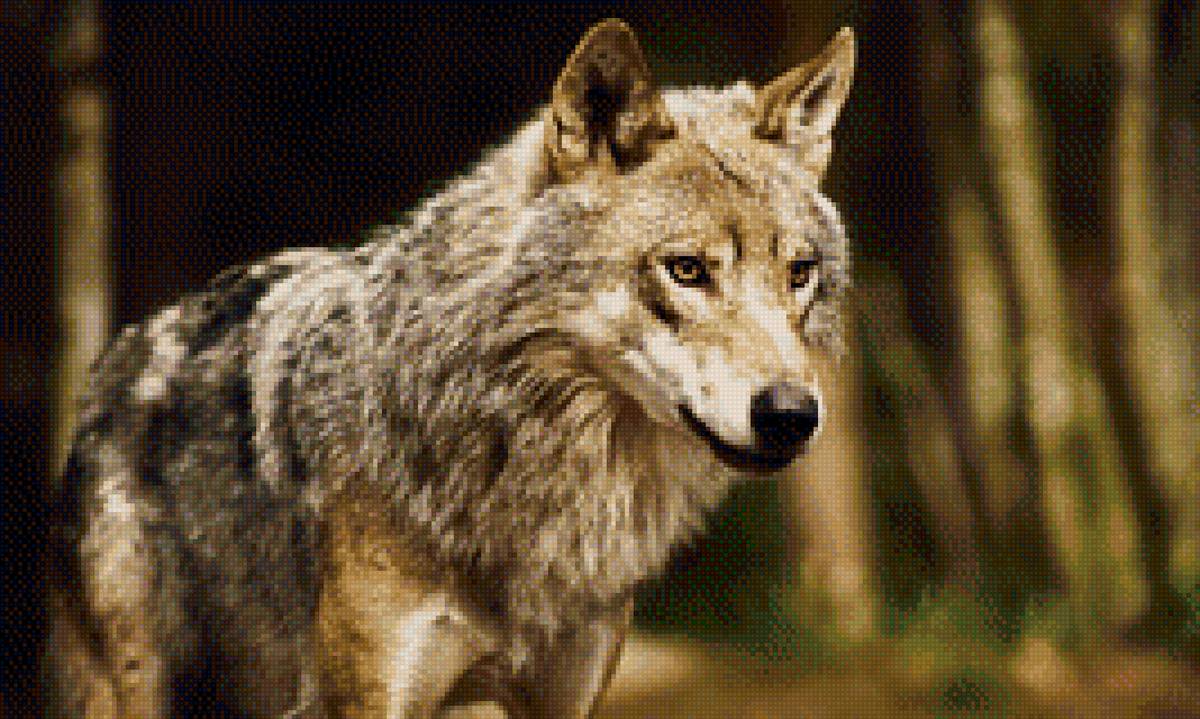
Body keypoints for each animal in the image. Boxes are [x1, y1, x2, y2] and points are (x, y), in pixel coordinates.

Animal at [43, 18, 855, 719]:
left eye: (800, 273)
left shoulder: (566, 696)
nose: (791, 414)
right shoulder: (375, 697)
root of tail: (118, 355)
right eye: (686, 270)